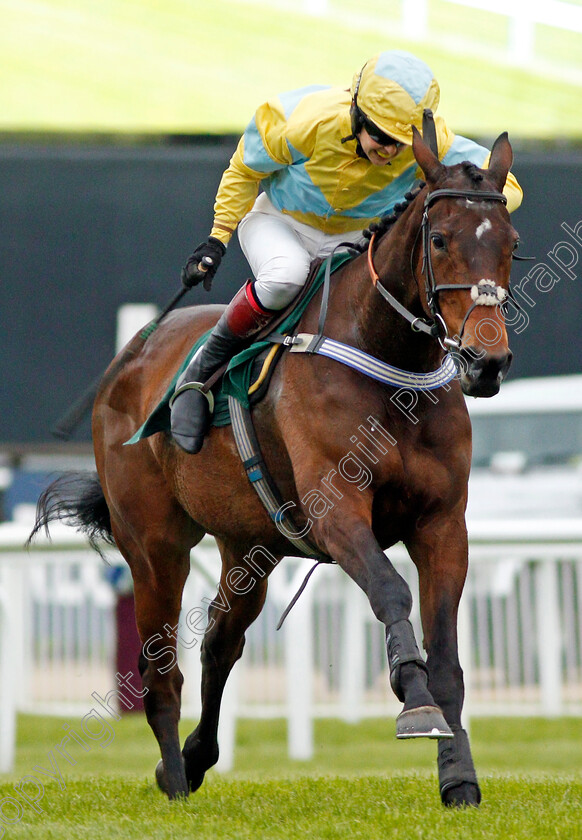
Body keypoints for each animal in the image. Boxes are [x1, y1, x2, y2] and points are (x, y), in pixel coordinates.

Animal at [28, 130, 520, 808]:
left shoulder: (443, 523)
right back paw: (175, 779)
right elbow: (390, 590)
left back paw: (196, 757)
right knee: (160, 669)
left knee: (219, 641)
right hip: (153, 545)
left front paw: (458, 778)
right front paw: (413, 699)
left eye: (511, 244)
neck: (388, 362)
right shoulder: (337, 511)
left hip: (249, 546)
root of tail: (127, 360)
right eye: (441, 239)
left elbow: (447, 655)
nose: (485, 360)